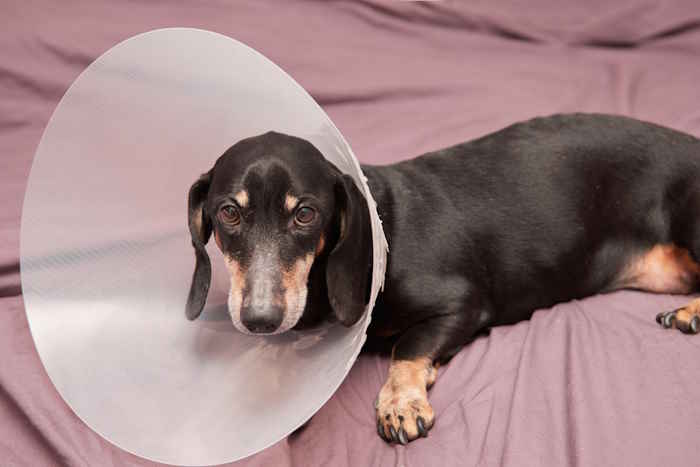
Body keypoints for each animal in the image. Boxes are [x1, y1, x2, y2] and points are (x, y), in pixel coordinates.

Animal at [185, 113, 700, 446]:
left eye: (306, 214)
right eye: (228, 212)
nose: (260, 319)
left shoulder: (462, 304)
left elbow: (407, 348)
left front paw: (401, 403)